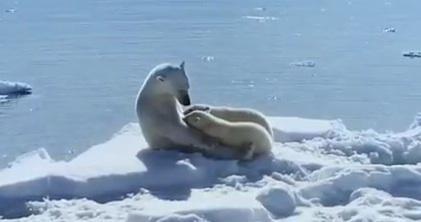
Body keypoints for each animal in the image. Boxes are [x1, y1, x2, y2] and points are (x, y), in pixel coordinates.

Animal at [135, 62, 272, 160]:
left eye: (187, 86)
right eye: (179, 89)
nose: (187, 102)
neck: (154, 96)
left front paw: (198, 109)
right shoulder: (156, 112)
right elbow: (177, 129)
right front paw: (209, 141)